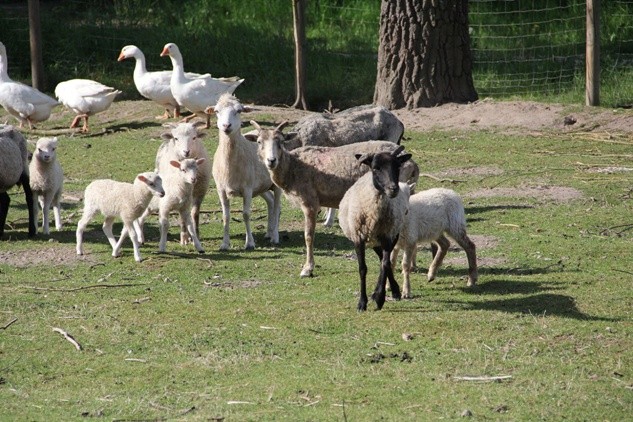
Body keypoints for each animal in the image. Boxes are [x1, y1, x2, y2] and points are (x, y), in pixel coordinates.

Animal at [207, 92, 282, 251]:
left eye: (239, 110)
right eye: (216, 111)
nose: (226, 126)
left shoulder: (247, 189)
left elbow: (246, 214)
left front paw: (250, 243)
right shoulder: (221, 189)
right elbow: (225, 216)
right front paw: (224, 244)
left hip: (275, 184)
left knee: (277, 205)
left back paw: (275, 236)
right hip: (261, 186)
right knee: (271, 202)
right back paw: (268, 232)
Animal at [247, 118, 420, 278]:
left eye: (281, 142)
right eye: (259, 142)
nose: (271, 161)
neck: (292, 168)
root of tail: (413, 164)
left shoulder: (310, 201)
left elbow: (308, 236)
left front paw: (307, 268)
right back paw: (412, 264)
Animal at [338, 147, 412, 312]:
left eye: (397, 166)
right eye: (376, 168)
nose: (393, 189)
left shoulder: (388, 236)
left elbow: (385, 264)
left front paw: (379, 298)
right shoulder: (358, 238)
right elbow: (362, 269)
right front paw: (362, 303)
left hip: (388, 236)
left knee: (385, 261)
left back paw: (393, 291)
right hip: (373, 240)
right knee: (380, 258)